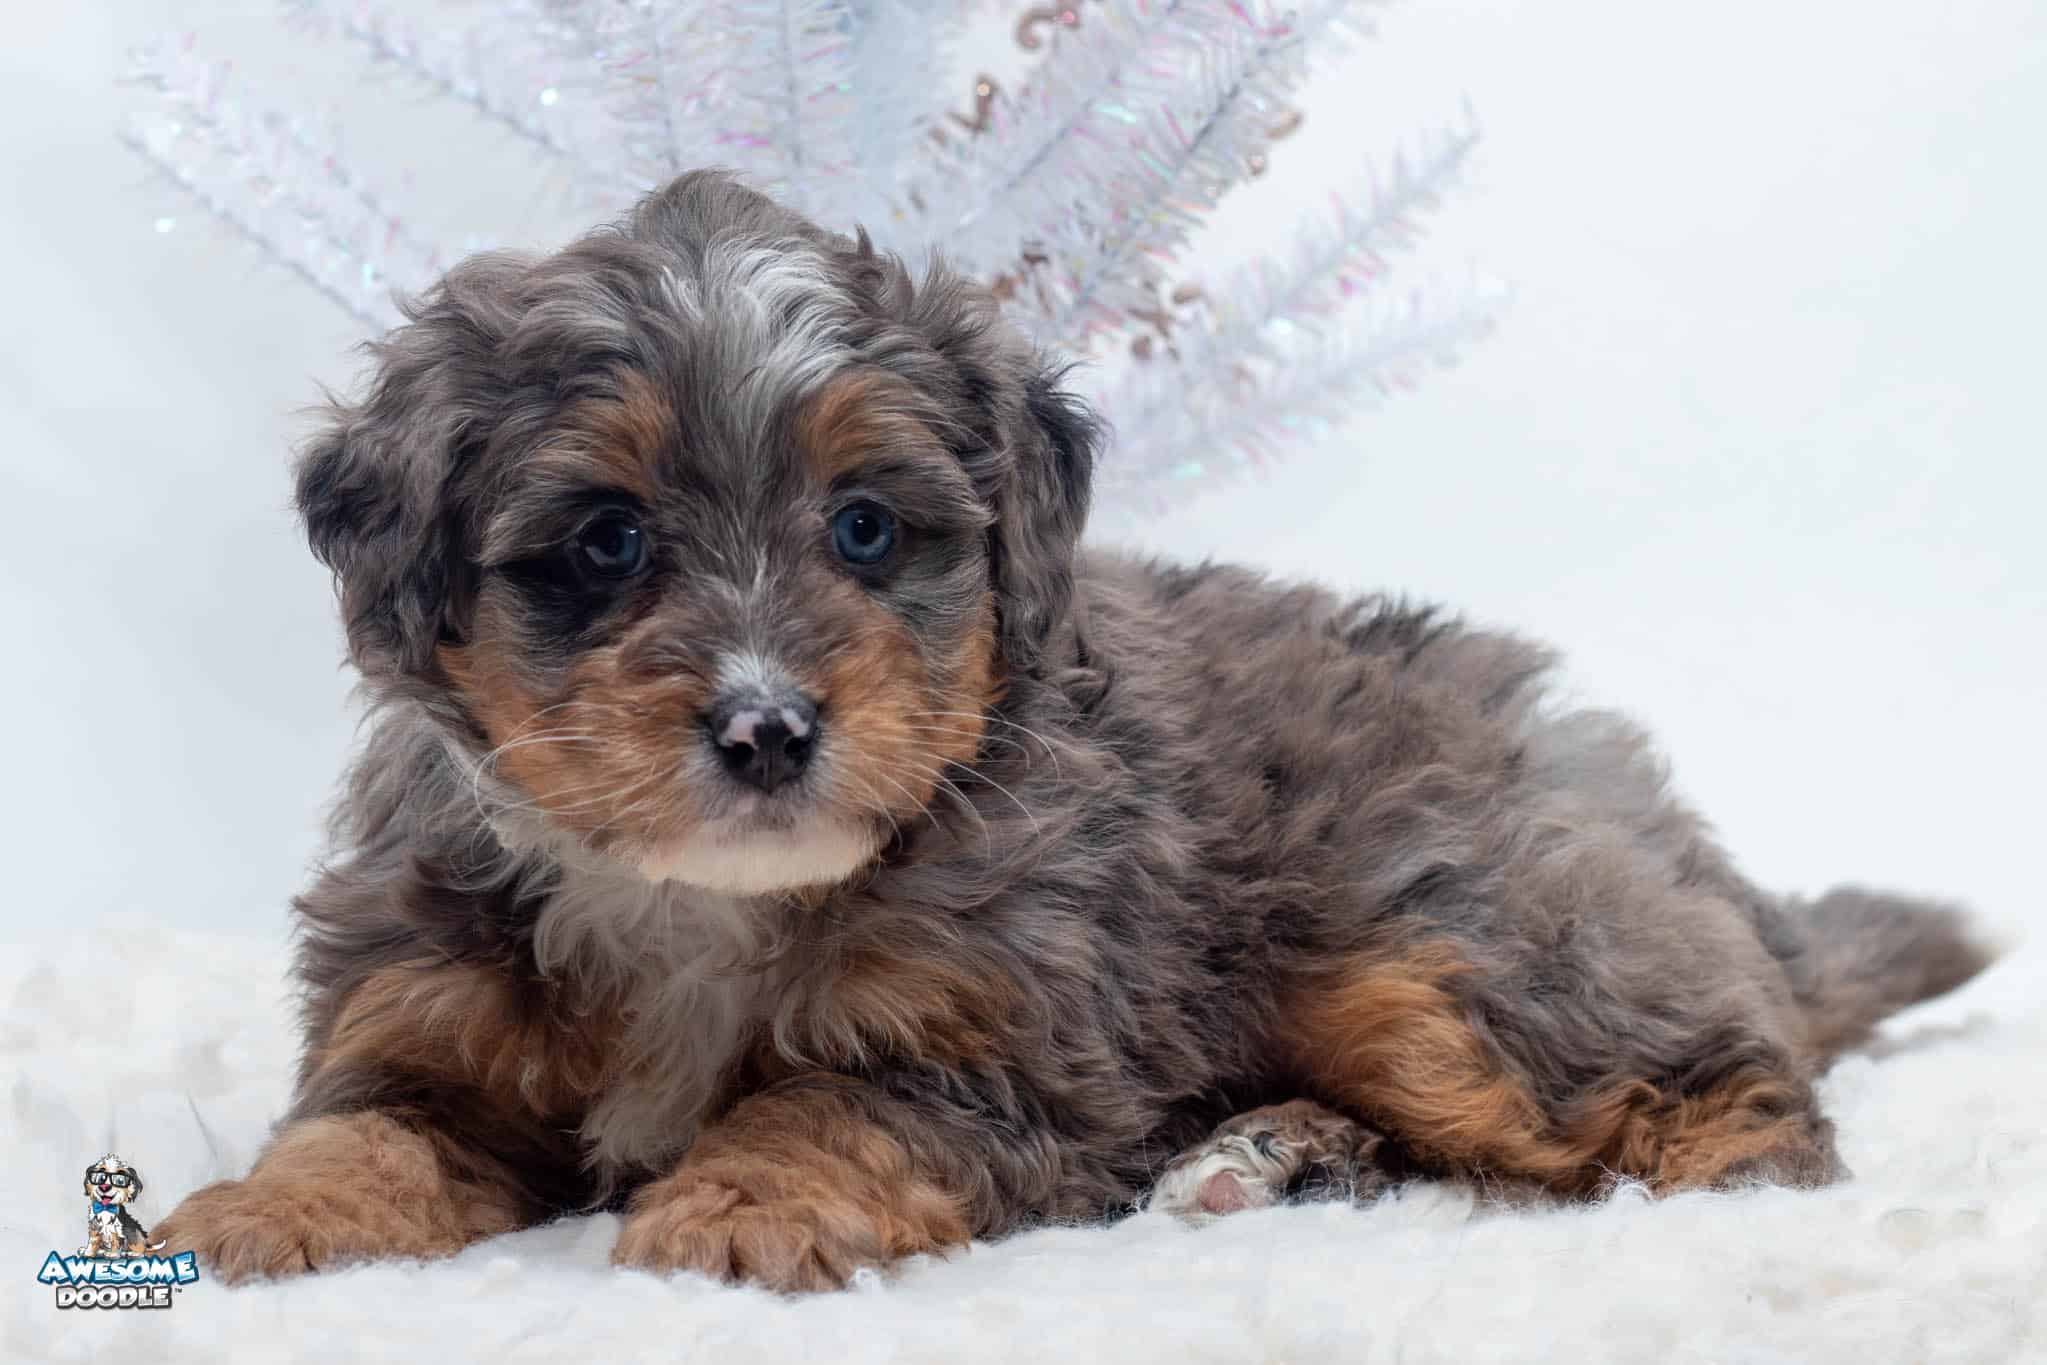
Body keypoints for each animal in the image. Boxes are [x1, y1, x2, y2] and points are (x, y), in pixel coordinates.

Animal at [154, 170, 1995, 1288]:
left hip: (1452, 946)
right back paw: (1260, 1160)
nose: (766, 727)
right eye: (605, 543)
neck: (698, 905)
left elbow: (829, 1112)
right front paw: (252, 1222)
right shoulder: (423, 1022)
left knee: (1722, 1084)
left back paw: (1700, 1203)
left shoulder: (1003, 1049)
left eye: (866, 532)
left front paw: (738, 1212)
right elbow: (361, 1131)